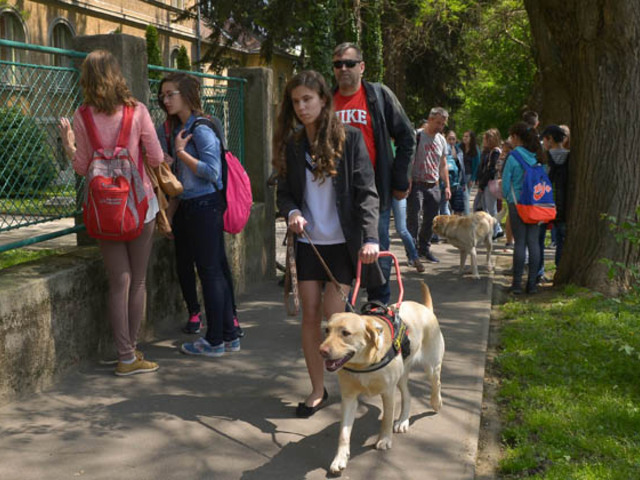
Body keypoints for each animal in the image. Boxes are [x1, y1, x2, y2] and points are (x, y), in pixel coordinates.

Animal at [320, 280, 444, 474]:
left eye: (345, 333)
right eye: (327, 330)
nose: (322, 351)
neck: (364, 363)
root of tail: (425, 308)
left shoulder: (388, 393)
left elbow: (386, 418)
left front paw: (384, 440)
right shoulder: (349, 398)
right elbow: (344, 433)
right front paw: (340, 458)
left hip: (431, 366)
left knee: (436, 383)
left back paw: (436, 402)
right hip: (401, 376)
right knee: (408, 396)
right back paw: (403, 421)